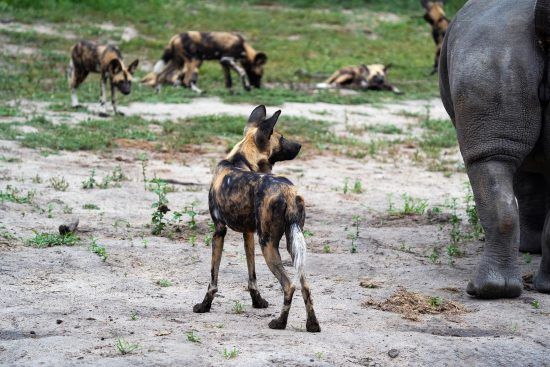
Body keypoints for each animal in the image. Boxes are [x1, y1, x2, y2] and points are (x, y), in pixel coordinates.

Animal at [195, 105, 322, 334]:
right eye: (282, 137)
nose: (299, 145)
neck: (239, 159)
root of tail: (289, 192)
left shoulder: (219, 231)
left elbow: (213, 278)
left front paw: (204, 306)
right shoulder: (249, 234)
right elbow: (252, 275)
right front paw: (257, 301)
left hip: (268, 245)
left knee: (289, 285)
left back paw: (279, 323)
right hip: (290, 244)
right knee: (304, 285)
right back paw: (313, 325)